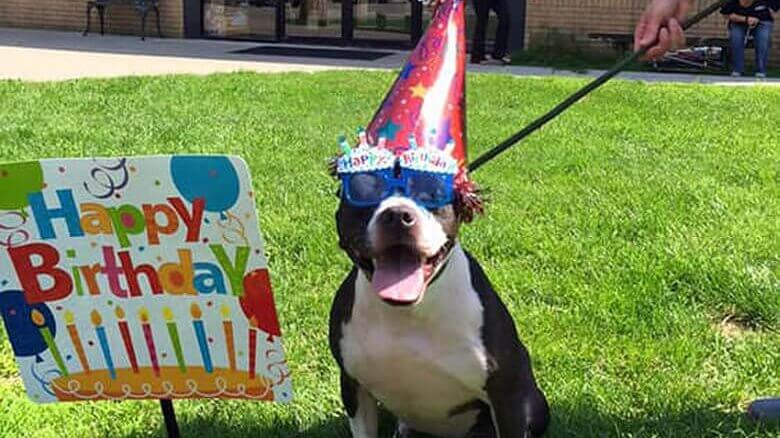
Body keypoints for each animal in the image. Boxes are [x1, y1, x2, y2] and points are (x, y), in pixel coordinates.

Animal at [326, 183, 552, 436]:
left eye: (432, 193)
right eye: (363, 191)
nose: (397, 215)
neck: (408, 311)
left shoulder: (507, 395)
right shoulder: (354, 386)